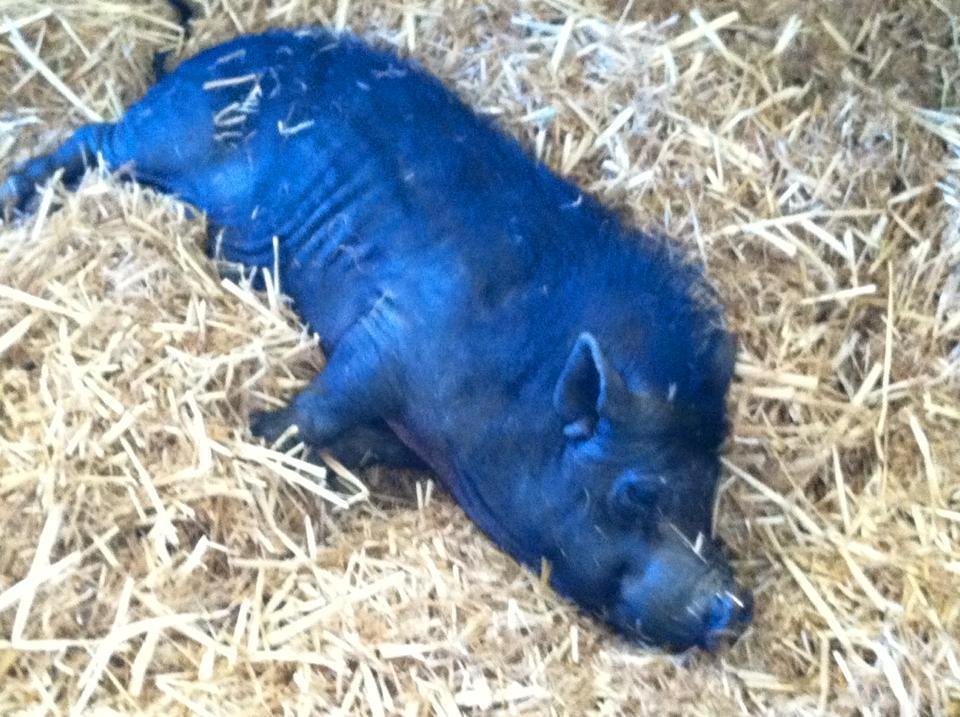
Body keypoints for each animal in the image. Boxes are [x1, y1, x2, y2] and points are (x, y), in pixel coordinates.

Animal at [0, 27, 753, 651]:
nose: (734, 607)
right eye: (637, 493)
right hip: (159, 138)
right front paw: (260, 431)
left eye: (709, 492)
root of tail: (204, 54)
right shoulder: (391, 331)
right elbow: (324, 403)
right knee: (94, 138)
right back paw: (18, 198)